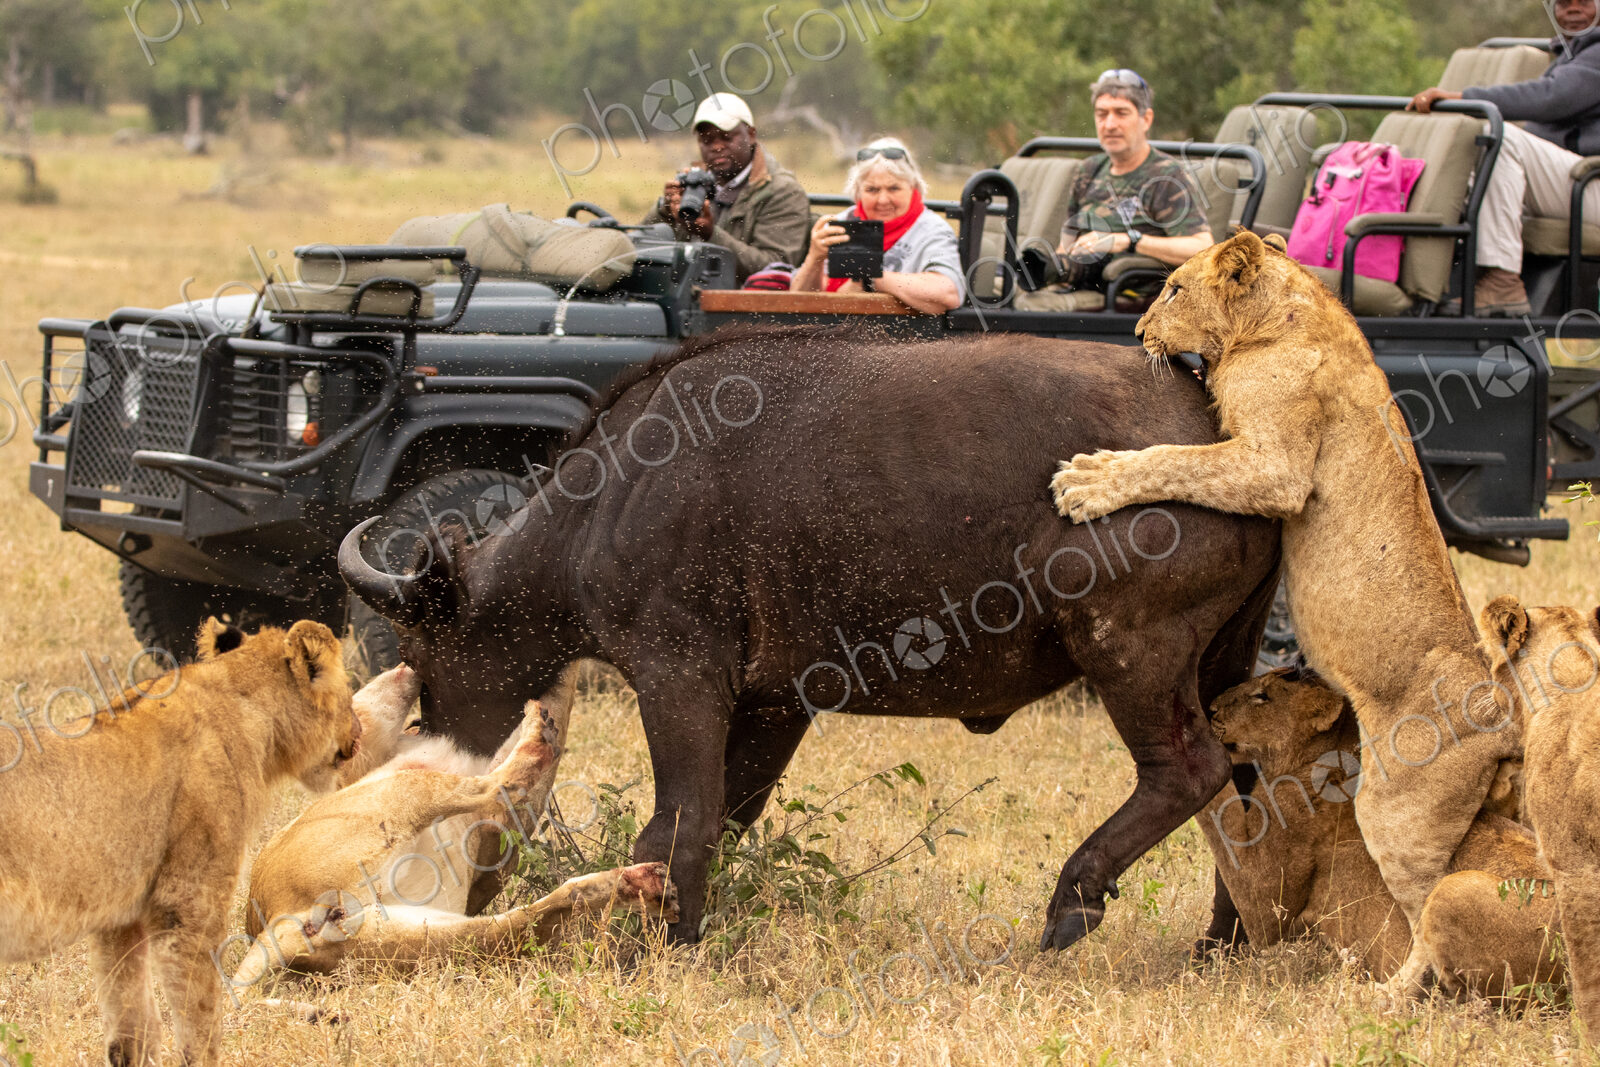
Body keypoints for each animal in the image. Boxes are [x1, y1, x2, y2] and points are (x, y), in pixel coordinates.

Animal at [0, 619, 359, 1067]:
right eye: (350, 691)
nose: (360, 731)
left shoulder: (120, 920)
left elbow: (131, 1026)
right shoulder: (188, 901)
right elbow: (201, 1020)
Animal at [340, 326, 1279, 950]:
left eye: (419, 653)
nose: (436, 738)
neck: (613, 493)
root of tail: (1225, 428)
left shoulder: (678, 676)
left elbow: (677, 821)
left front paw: (655, 940)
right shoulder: (775, 703)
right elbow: (726, 813)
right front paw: (687, 926)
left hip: (1129, 652)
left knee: (1186, 771)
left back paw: (1072, 902)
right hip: (1225, 665)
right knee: (1244, 788)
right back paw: (1228, 935)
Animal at [1048, 229, 1518, 929]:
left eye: (1174, 288)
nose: (1137, 331)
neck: (1281, 317)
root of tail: (1502, 713)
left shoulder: (1273, 466)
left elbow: (1173, 459)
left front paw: (1087, 480)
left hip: (1400, 812)